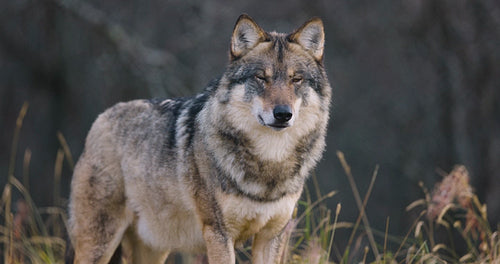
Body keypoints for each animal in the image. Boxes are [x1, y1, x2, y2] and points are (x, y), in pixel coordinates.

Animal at [67, 14, 332, 264]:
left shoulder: (272, 236)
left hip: (153, 248)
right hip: (100, 243)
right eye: (260, 78)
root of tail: (101, 117)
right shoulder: (218, 233)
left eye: (296, 79)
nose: (283, 114)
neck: (269, 162)